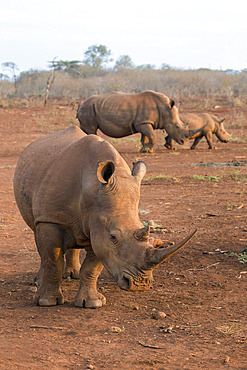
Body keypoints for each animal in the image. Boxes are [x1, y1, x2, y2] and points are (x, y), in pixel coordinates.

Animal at [14, 125, 197, 308]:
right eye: (113, 237)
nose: (140, 285)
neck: (92, 190)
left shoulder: (98, 227)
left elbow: (92, 267)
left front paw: (92, 303)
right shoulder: (51, 219)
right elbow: (53, 261)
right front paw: (46, 302)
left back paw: (73, 275)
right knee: (38, 238)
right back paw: (38, 281)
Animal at [76, 90, 207, 152]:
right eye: (177, 127)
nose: (184, 142)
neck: (165, 109)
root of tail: (81, 104)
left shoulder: (143, 122)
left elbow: (145, 137)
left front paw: (145, 149)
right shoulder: (143, 123)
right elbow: (153, 136)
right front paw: (148, 150)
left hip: (89, 108)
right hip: (88, 108)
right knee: (91, 130)